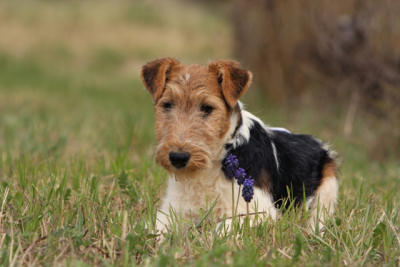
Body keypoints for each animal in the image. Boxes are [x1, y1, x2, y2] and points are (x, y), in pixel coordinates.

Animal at [140, 57, 338, 234]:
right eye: (167, 104)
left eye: (207, 108)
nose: (178, 157)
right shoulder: (173, 210)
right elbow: (151, 229)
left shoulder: (260, 211)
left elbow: (220, 229)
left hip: (326, 189)